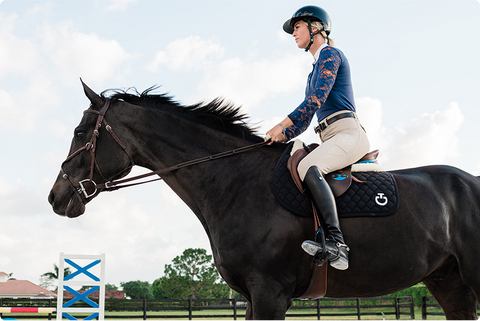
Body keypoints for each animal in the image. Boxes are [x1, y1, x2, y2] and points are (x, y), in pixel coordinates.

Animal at [47, 81, 480, 318]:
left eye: (81, 131)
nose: (56, 196)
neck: (236, 181)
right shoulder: (253, 297)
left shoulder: (271, 293)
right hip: (449, 282)